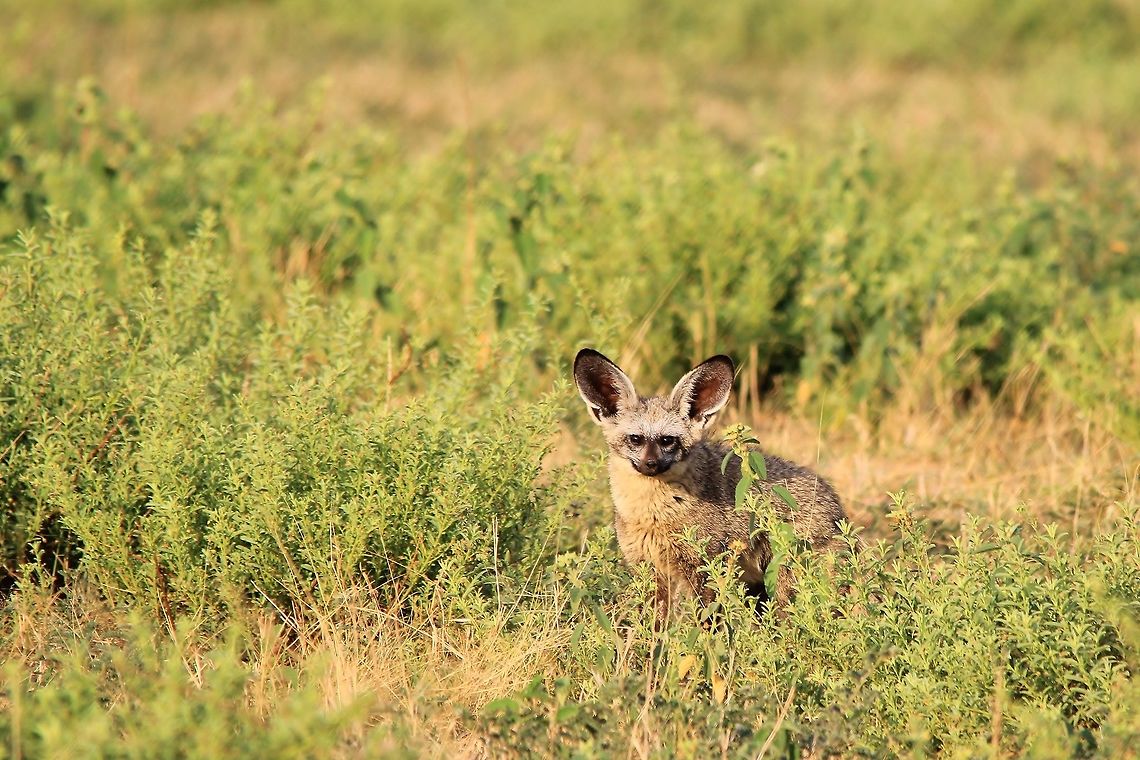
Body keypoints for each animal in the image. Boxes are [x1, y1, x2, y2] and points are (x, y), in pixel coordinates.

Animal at [573, 347, 850, 624]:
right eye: (635, 439)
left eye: (667, 440)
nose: (650, 464)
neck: (653, 515)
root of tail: (839, 510)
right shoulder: (648, 568)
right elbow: (654, 625)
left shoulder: (704, 566)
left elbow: (705, 621)